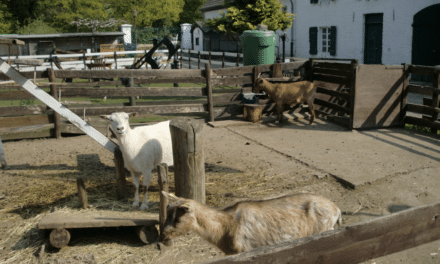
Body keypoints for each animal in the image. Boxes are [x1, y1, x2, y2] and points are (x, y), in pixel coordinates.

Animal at [161, 191, 340, 255]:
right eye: (167, 213)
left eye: (178, 218)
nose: (163, 236)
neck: (226, 225)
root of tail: (336, 209)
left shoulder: (246, 250)